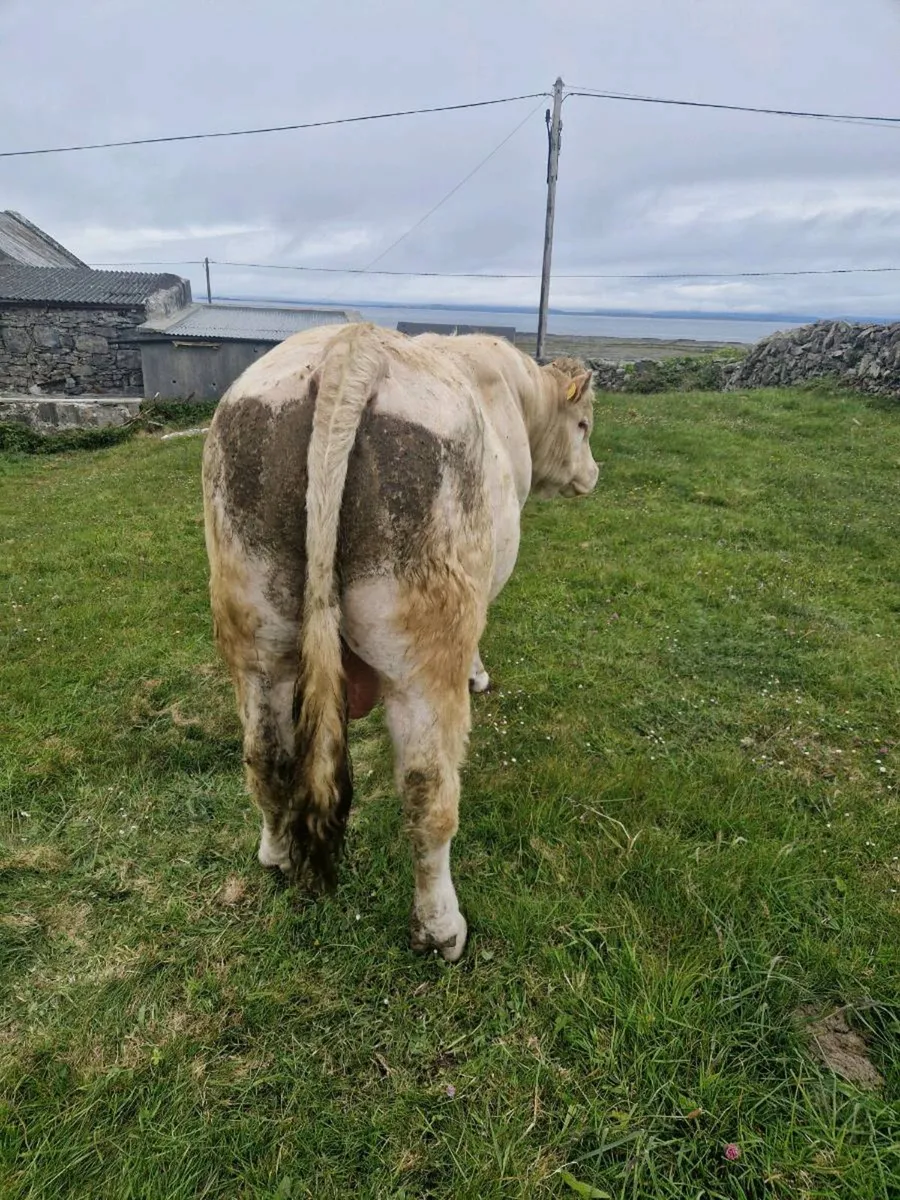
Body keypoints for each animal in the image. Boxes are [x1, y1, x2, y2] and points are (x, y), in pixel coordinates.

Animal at [201, 323, 598, 961]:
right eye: (584, 423)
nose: (594, 473)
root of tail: (351, 346)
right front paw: (479, 673)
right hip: (423, 646)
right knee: (427, 793)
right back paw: (441, 929)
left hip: (254, 624)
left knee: (265, 754)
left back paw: (276, 854)